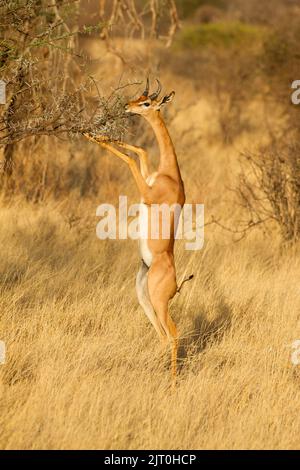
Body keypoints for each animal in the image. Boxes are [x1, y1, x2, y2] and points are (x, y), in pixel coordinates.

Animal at [85, 79, 188, 380]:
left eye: (146, 103)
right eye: (139, 97)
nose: (126, 106)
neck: (169, 174)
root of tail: (176, 284)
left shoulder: (147, 193)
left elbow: (131, 159)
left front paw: (95, 137)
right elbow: (140, 150)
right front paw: (93, 135)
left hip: (159, 302)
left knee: (174, 334)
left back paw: (172, 383)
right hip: (144, 297)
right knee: (163, 336)